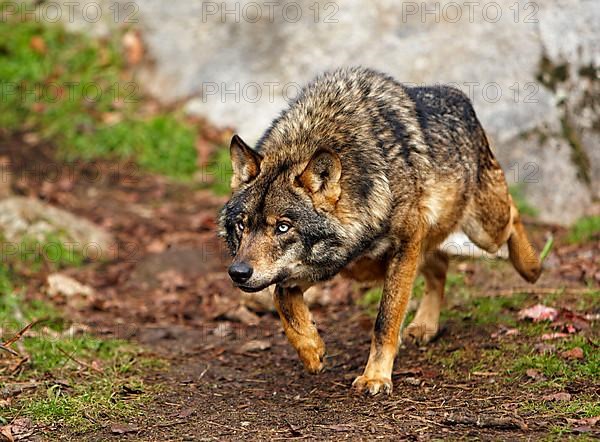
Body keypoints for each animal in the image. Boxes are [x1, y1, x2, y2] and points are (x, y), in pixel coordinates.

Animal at [220, 67, 544, 396]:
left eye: (283, 227)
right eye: (242, 225)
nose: (238, 273)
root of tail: (457, 95)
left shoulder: (403, 245)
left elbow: (384, 320)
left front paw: (375, 377)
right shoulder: (332, 261)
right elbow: (282, 296)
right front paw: (311, 350)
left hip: (483, 230)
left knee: (513, 213)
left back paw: (531, 267)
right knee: (440, 264)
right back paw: (424, 326)